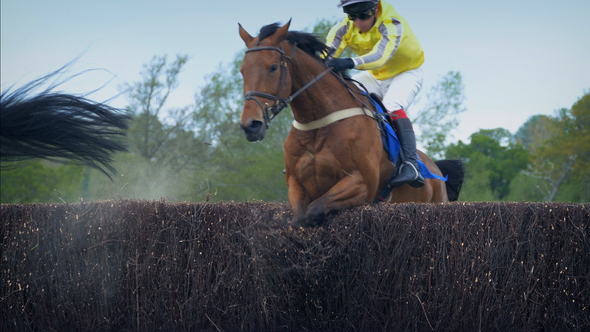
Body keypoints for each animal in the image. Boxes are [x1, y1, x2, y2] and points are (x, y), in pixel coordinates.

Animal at [238, 22, 464, 227]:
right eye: (242, 70)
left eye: (273, 67)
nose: (250, 125)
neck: (318, 127)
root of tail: (436, 169)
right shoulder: (296, 183)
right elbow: (299, 218)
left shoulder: (362, 183)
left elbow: (314, 210)